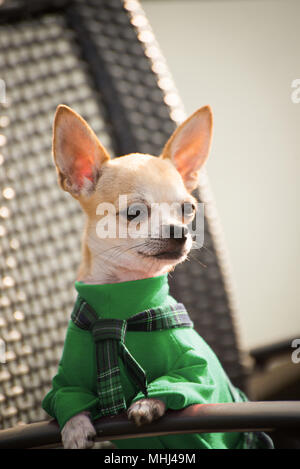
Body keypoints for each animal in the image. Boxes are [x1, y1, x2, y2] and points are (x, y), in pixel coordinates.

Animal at [46, 104, 213, 448]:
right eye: (134, 212)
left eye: (188, 209)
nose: (179, 232)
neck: (123, 300)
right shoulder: (66, 381)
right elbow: (69, 400)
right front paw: (74, 429)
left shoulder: (194, 369)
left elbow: (176, 384)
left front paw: (147, 402)